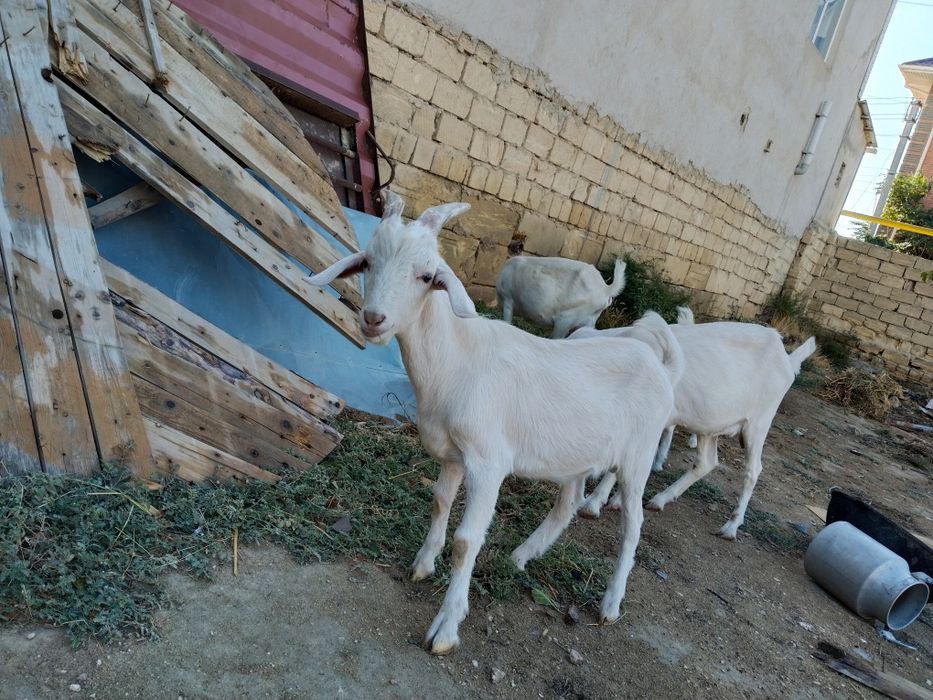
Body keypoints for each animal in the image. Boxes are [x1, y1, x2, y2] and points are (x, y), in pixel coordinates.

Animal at [571, 318, 815, 539]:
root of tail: (787, 359)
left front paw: (593, 504)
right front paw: (615, 500)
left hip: (758, 423)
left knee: (753, 470)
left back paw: (731, 527)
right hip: (711, 427)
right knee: (707, 463)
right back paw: (660, 500)